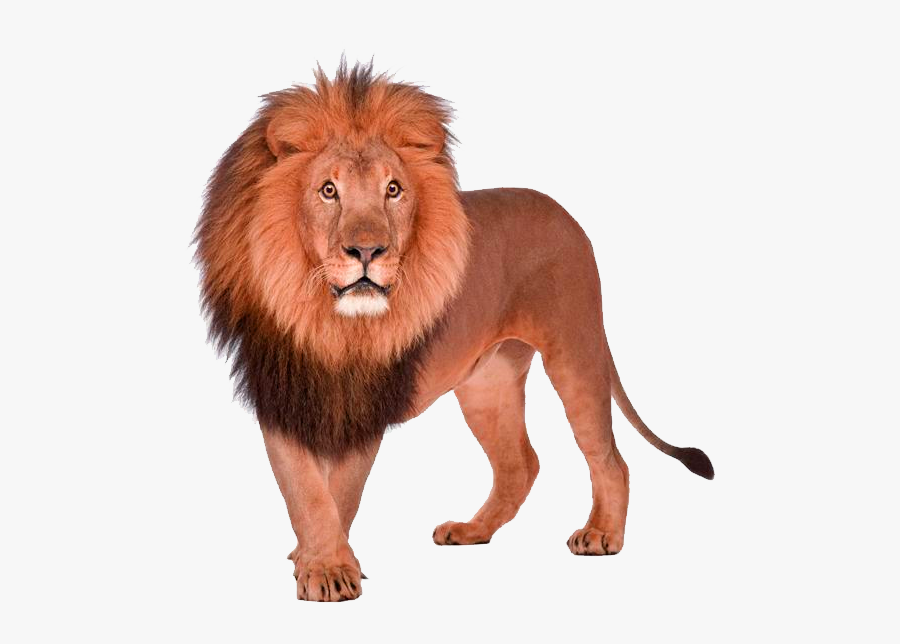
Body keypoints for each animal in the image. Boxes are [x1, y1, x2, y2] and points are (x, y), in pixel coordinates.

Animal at [194, 60, 714, 602]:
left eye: (393, 189)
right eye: (328, 190)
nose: (367, 251)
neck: (329, 322)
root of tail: (565, 215)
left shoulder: (370, 402)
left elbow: (341, 493)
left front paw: (330, 568)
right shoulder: (280, 393)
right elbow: (306, 491)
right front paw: (318, 562)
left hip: (575, 350)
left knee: (609, 456)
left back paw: (601, 534)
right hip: (487, 383)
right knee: (520, 464)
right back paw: (472, 531)